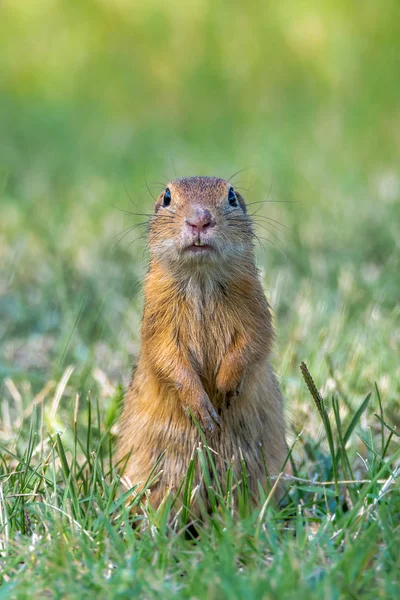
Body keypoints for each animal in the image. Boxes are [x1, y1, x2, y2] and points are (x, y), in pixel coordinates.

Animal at [117, 176, 290, 508]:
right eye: (167, 197)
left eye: (232, 196)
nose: (200, 220)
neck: (201, 278)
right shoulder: (157, 319)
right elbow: (167, 357)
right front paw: (203, 410)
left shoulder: (255, 307)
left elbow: (253, 342)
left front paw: (224, 387)